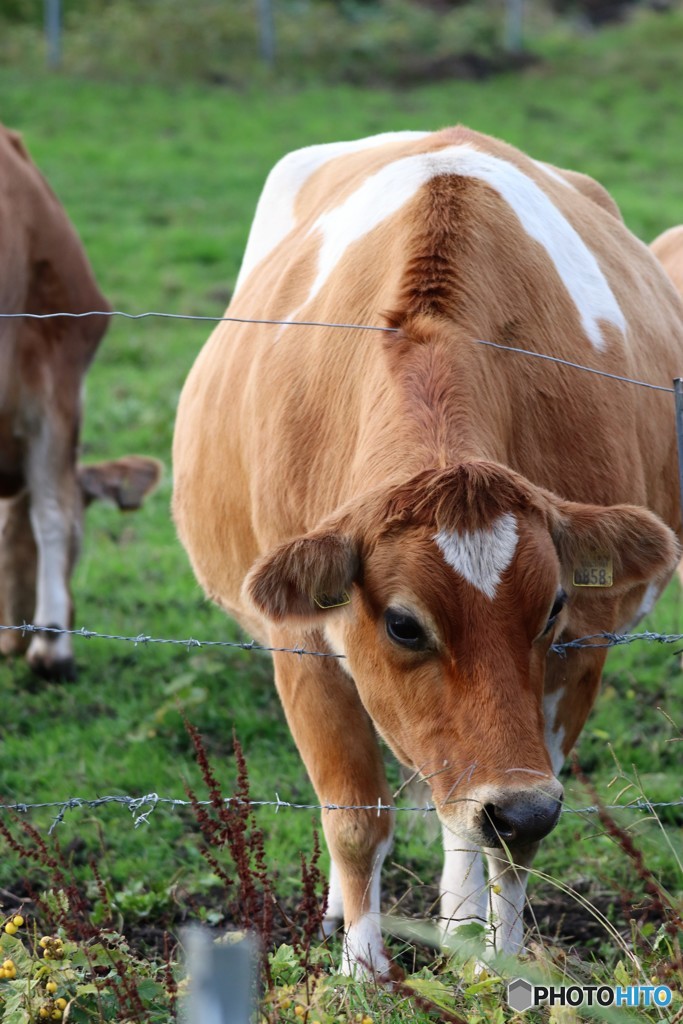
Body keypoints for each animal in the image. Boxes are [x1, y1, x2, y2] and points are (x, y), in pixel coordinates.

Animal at [172, 128, 683, 974]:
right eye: (404, 625)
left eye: (552, 607)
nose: (516, 805)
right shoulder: (301, 648)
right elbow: (355, 820)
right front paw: (360, 972)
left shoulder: (578, 657)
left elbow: (509, 841)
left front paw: (502, 965)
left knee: (461, 815)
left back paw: (461, 924)